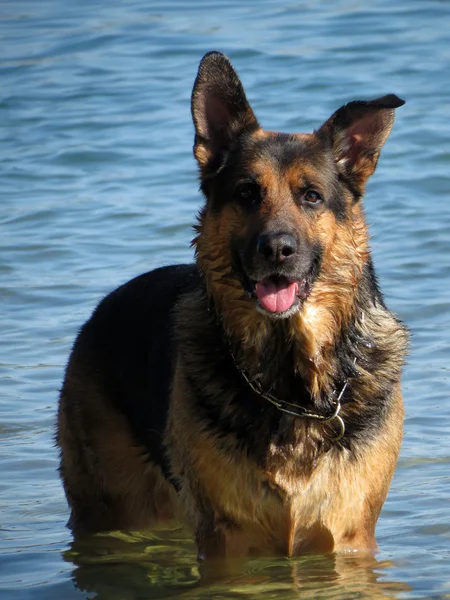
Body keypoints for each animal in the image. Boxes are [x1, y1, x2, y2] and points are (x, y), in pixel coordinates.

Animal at [56, 51, 408, 556]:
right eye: (246, 193)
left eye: (311, 196)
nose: (277, 249)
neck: (290, 387)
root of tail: (100, 310)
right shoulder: (229, 543)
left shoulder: (348, 539)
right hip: (113, 507)